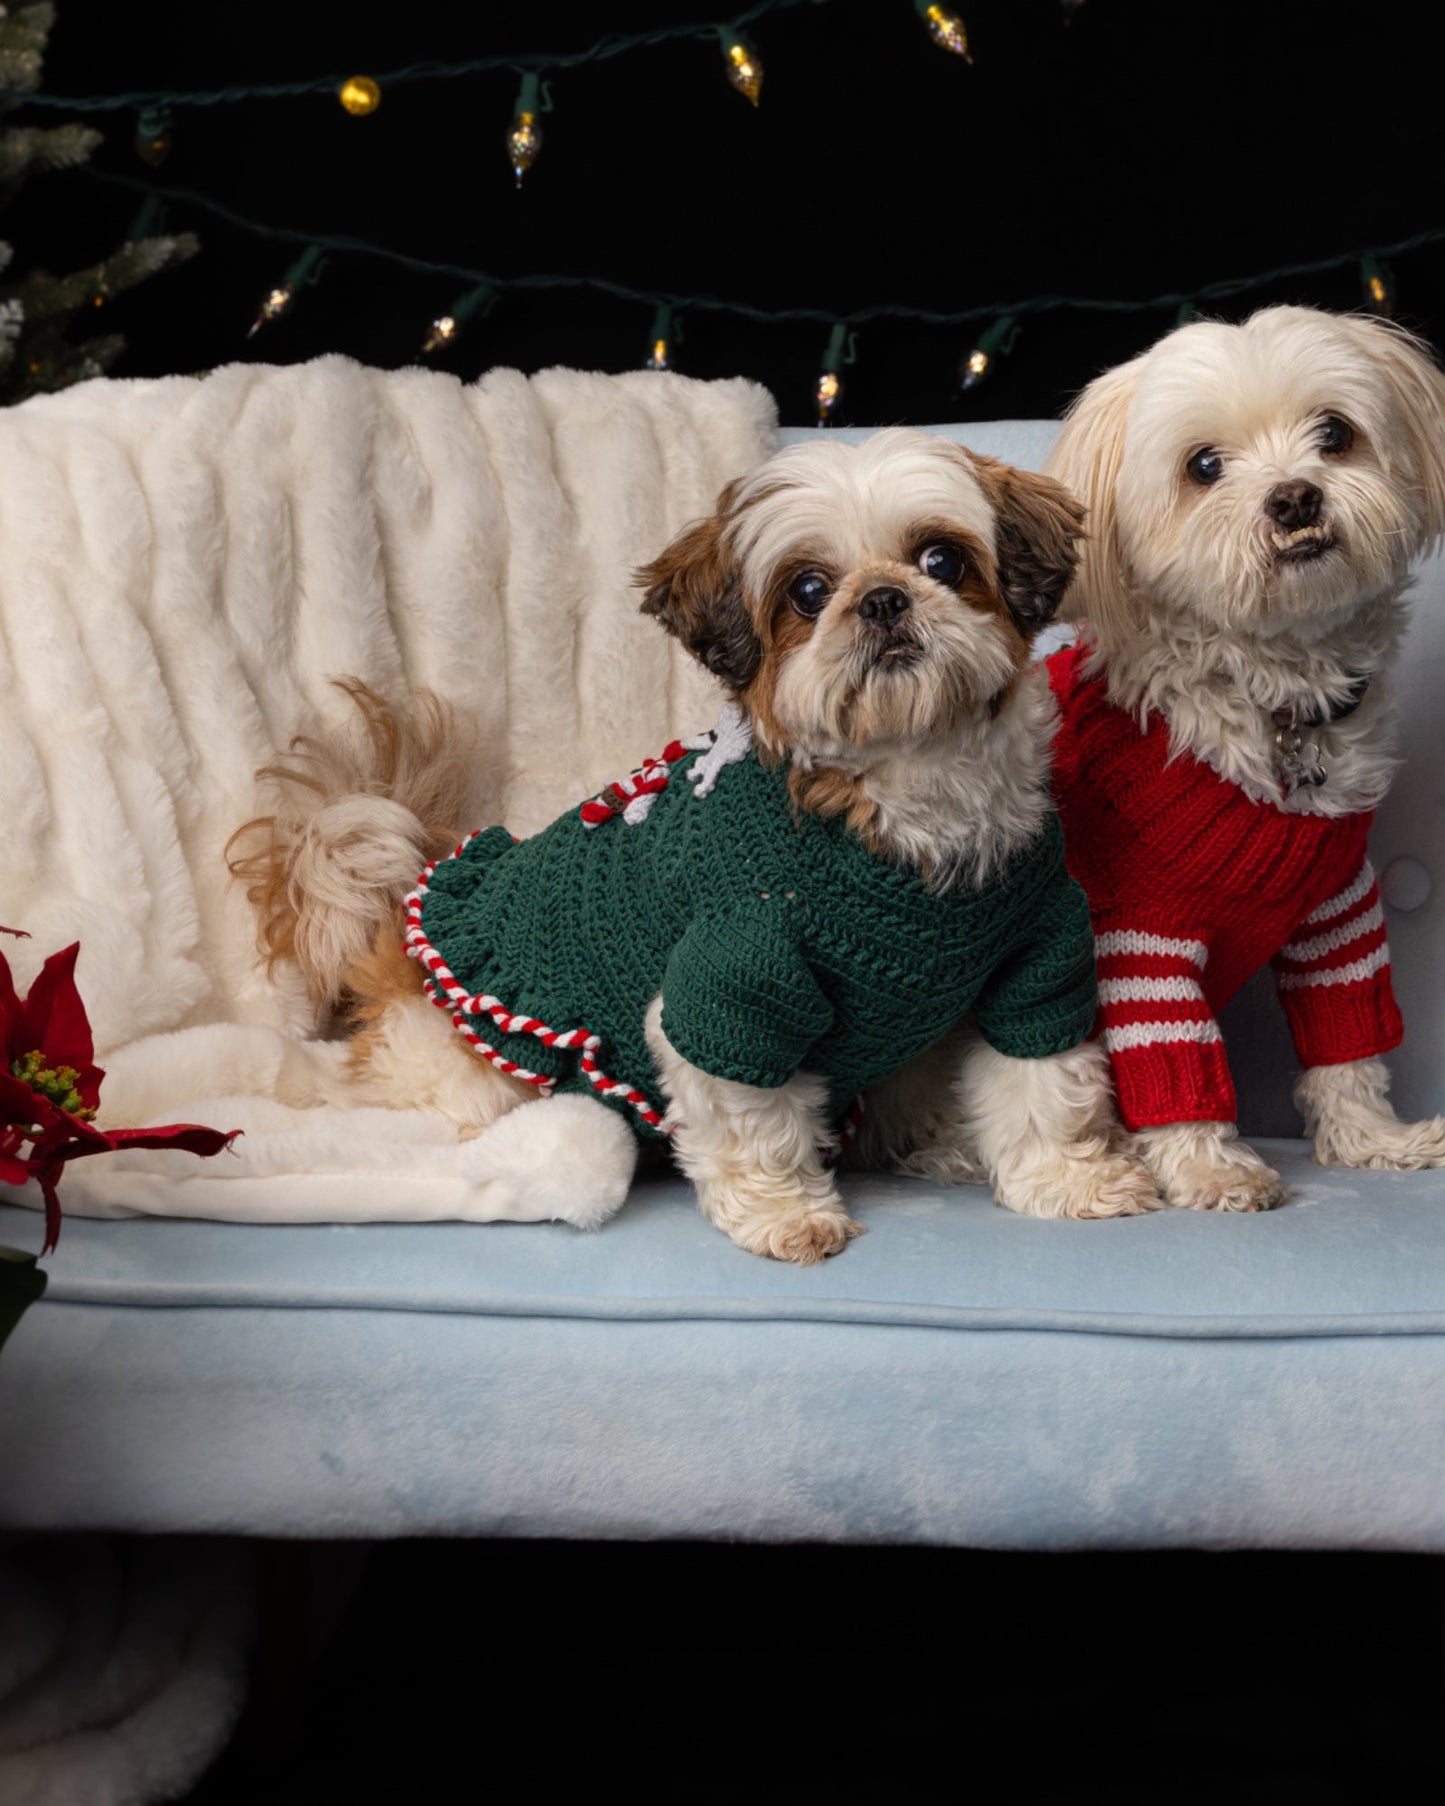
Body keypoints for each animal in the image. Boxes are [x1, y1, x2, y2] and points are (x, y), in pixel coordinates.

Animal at [231, 429, 1156, 1264]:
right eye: (808, 590)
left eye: (941, 560)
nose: (884, 599)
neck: (907, 793)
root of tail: (404, 926)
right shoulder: (734, 985)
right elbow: (751, 1116)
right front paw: (785, 1213)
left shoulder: (1035, 959)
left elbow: (1043, 1079)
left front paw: (1067, 1180)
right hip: (475, 1074)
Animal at [1047, 307, 1445, 1213]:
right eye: (1203, 466)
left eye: (1333, 433)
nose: (1294, 497)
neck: (1276, 700)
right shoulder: (1138, 937)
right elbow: (1172, 1056)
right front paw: (1208, 1166)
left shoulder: (1338, 912)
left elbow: (1348, 1036)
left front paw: (1373, 1142)